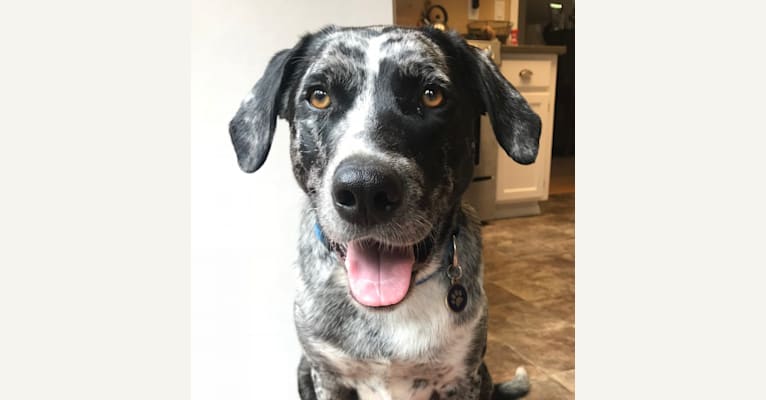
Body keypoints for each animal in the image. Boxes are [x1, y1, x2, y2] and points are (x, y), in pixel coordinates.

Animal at [231, 25, 544, 400]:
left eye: (432, 95)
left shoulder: (461, 377)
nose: (364, 190)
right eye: (319, 96)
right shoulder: (326, 375)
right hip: (303, 369)